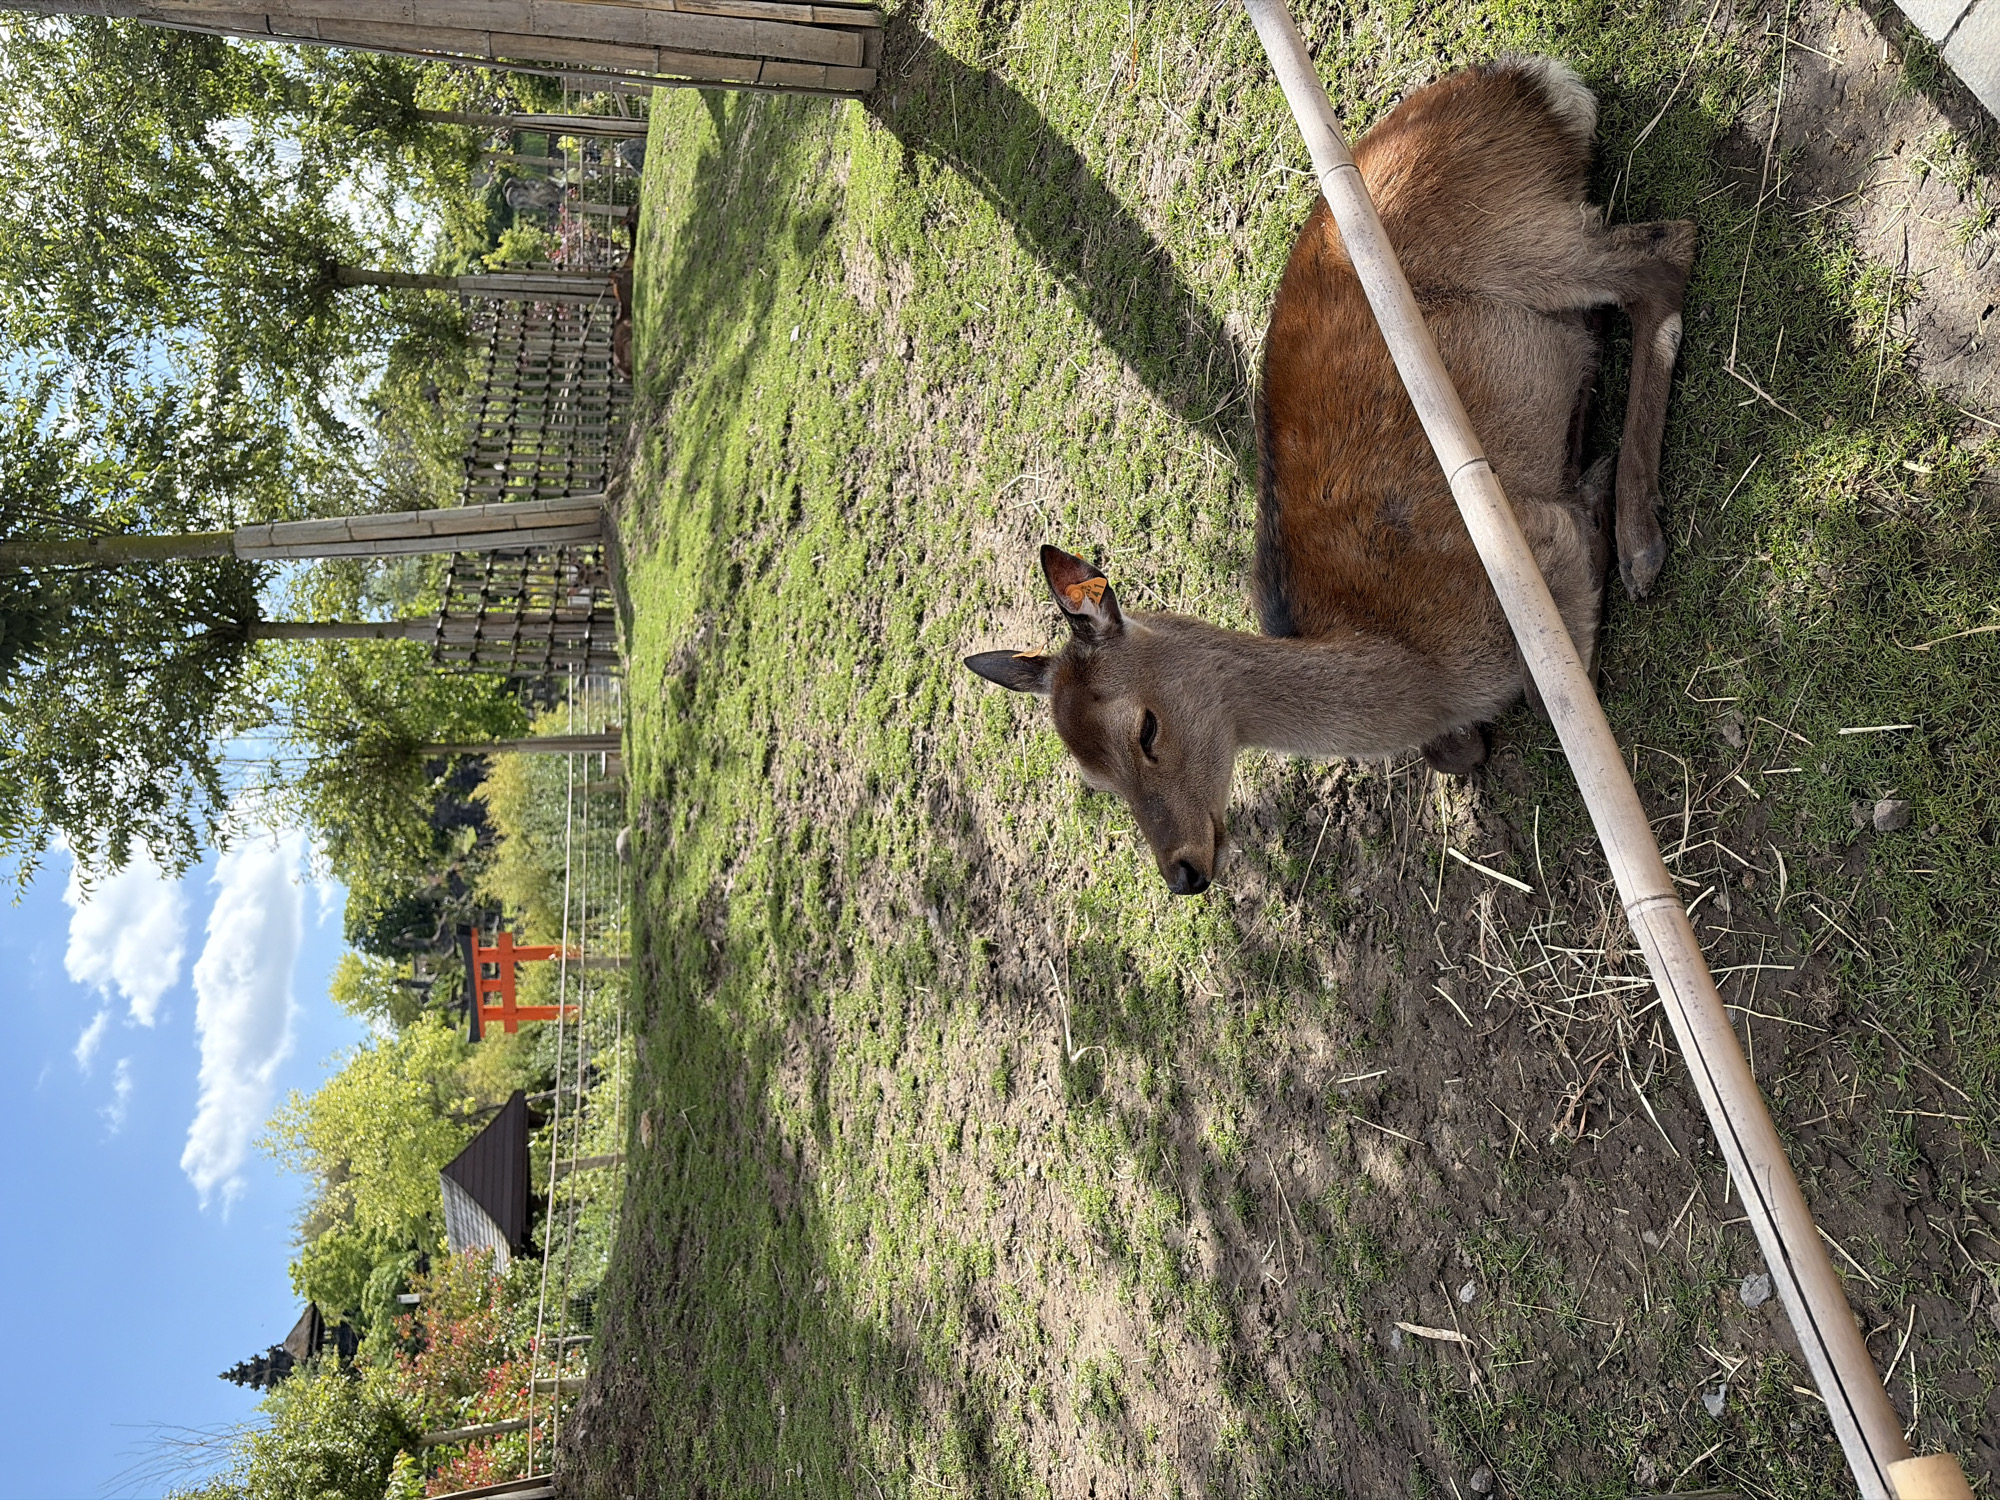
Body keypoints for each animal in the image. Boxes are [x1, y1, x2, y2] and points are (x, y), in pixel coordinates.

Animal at [964, 58, 1696, 896]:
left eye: (1145, 728)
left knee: (1665, 250)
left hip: (1531, 243)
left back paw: (1639, 537)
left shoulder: (1540, 553)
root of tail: (1528, 77)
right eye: (1093, 778)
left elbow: (1555, 682)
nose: (1183, 870)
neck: (1418, 664)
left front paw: (1594, 487)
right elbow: (1458, 752)